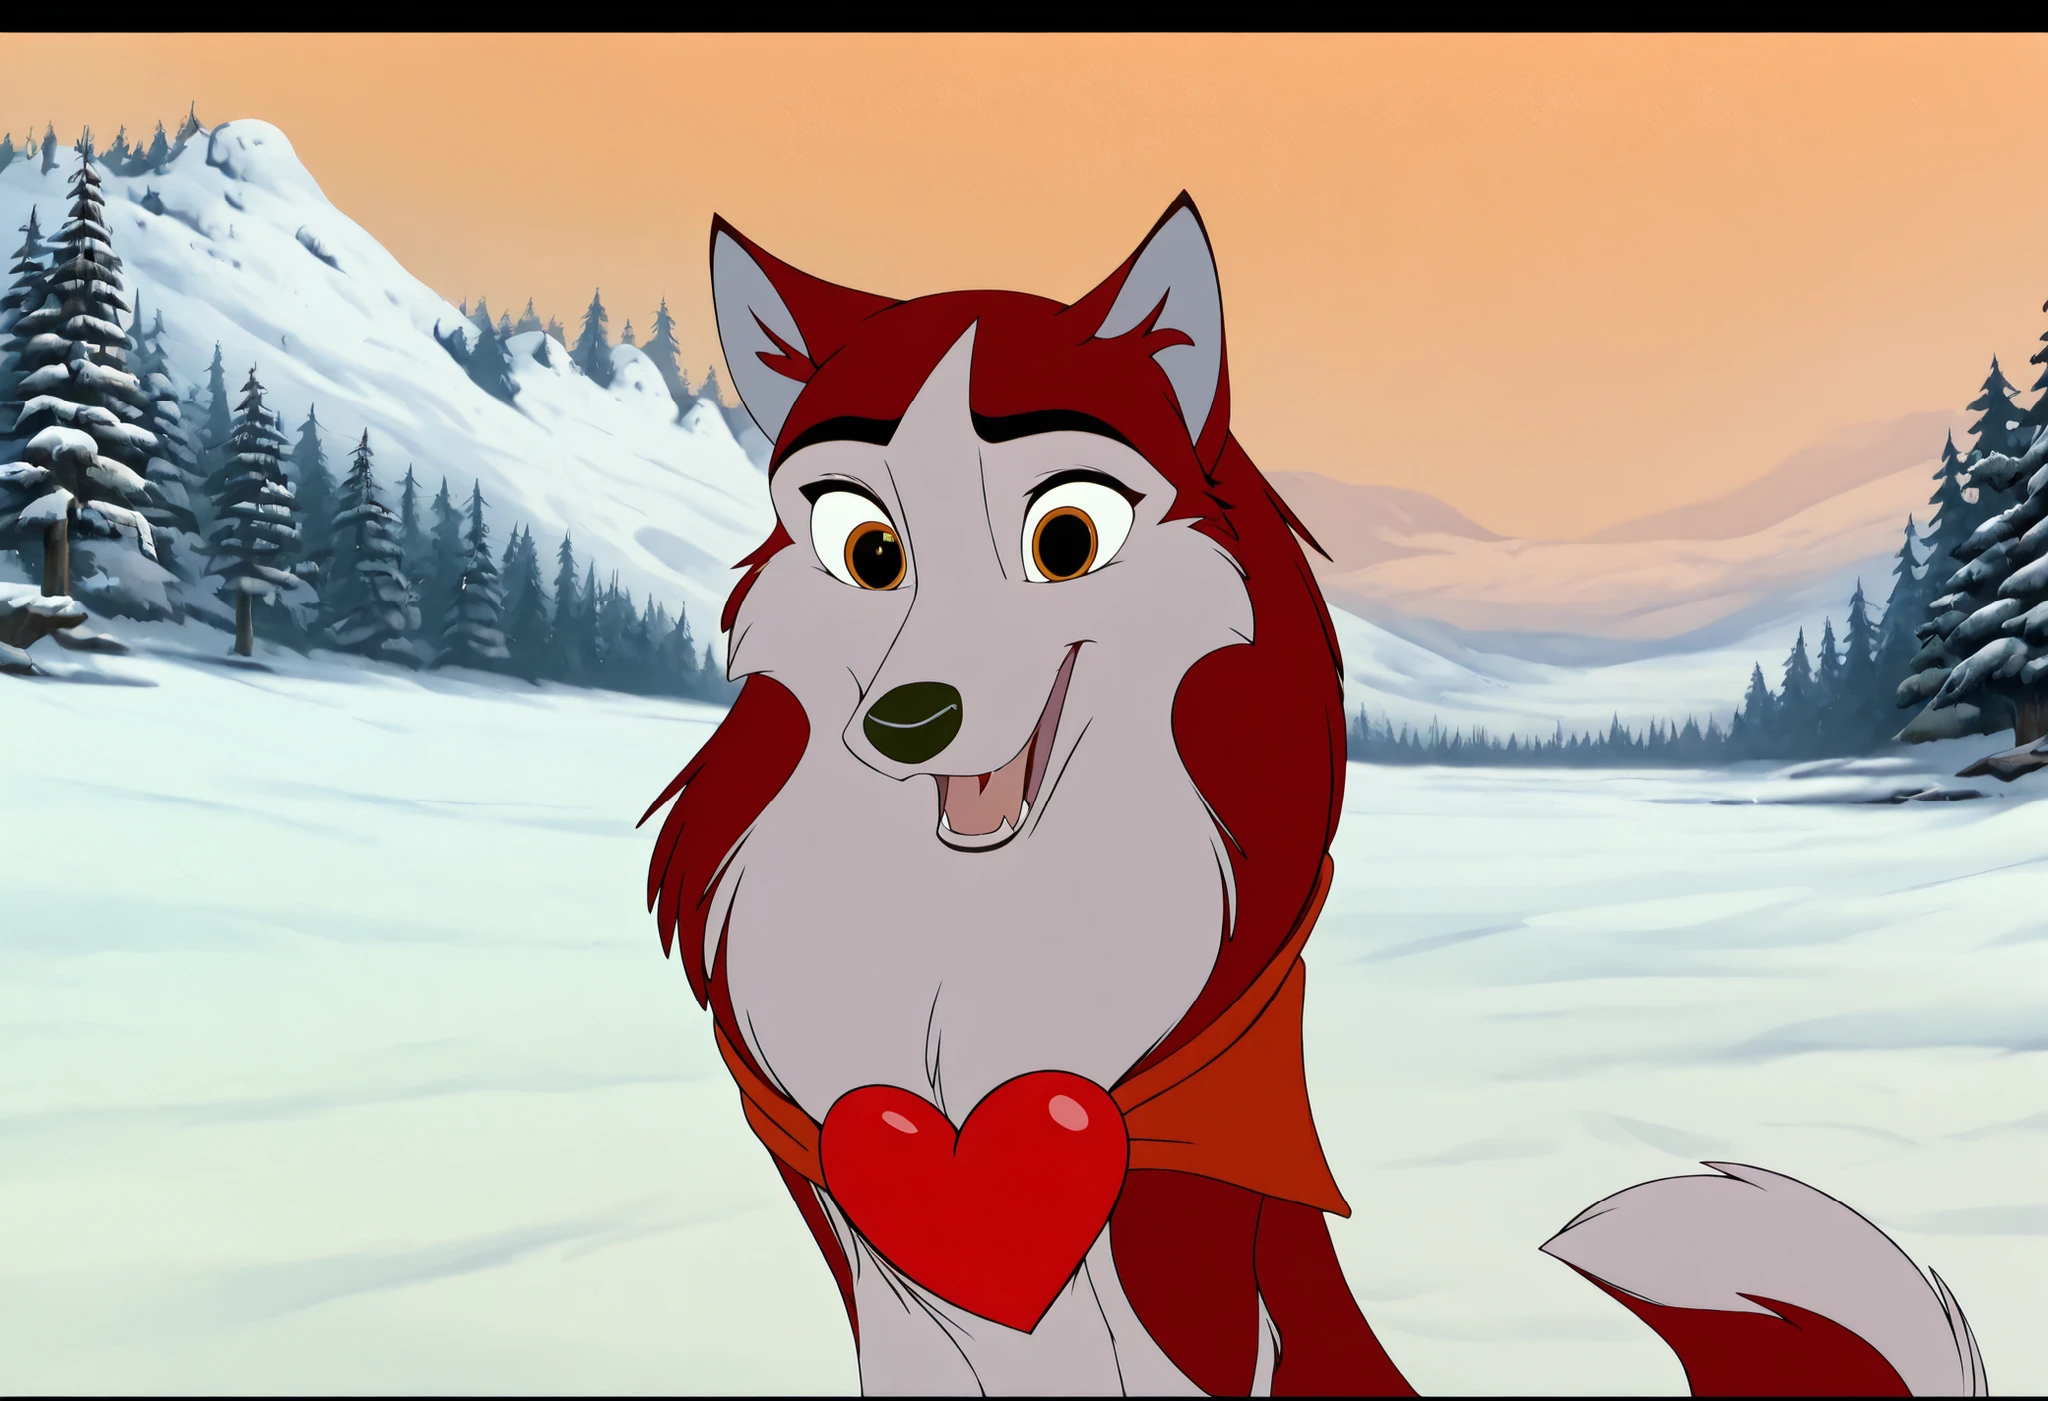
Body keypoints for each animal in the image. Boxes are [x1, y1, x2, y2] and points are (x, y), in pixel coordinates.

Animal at [642, 194, 1990, 1396]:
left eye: (1064, 540)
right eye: (868, 551)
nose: (907, 721)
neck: (976, 933)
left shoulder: (1181, 1253)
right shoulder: (874, 1261)